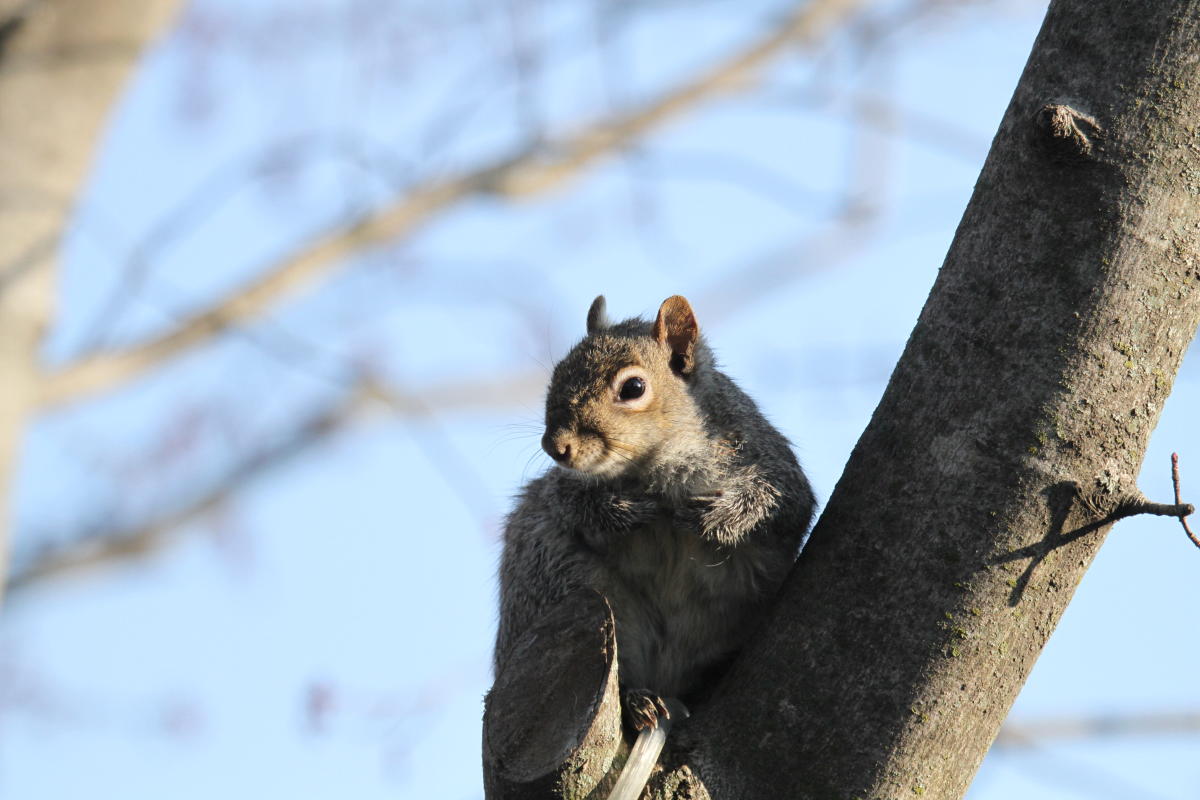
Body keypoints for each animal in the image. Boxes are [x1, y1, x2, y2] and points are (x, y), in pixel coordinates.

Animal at [493, 294, 815, 796]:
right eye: (557, 373)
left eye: (633, 387)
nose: (555, 446)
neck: (656, 469)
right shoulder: (562, 492)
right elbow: (575, 504)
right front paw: (622, 509)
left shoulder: (771, 465)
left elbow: (778, 507)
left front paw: (716, 517)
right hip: (567, 584)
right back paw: (637, 699)